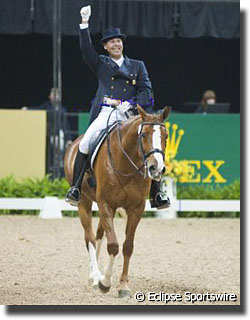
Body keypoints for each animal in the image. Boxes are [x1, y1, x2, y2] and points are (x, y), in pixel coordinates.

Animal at [63, 105, 171, 298]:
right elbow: (113, 245)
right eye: (143, 135)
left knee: (98, 235)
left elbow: (128, 246)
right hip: (84, 202)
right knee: (89, 238)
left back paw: (96, 275)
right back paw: (95, 277)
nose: (156, 168)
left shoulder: (136, 209)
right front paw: (105, 283)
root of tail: (75, 143)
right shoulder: (106, 204)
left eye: (165, 136)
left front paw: (123, 285)